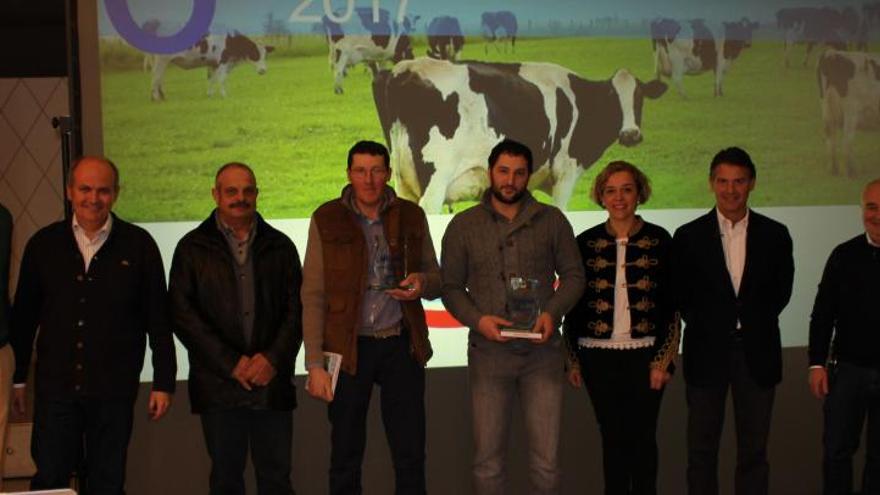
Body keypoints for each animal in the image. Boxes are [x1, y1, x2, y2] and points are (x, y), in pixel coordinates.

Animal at [372, 58, 668, 213]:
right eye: (612, 99)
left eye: (639, 99)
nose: (631, 134)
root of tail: (405, 68)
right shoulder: (565, 172)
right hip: (435, 178)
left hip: (403, 178)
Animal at [816, 49, 876, 177]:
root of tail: (832, 54)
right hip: (851, 111)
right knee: (847, 139)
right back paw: (852, 172)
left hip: (826, 109)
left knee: (830, 137)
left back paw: (833, 169)